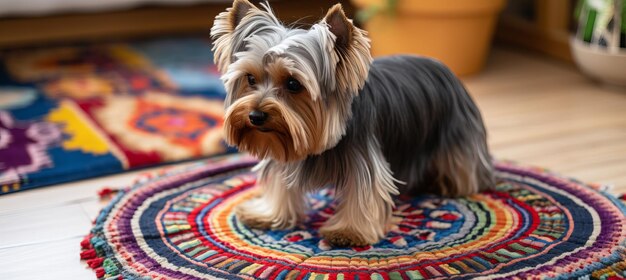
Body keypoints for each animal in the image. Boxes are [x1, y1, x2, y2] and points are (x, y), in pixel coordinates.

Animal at [210, 0, 492, 246]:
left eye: (293, 83)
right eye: (250, 78)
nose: (255, 116)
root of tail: (443, 67)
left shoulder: (364, 160)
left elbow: (364, 193)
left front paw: (349, 231)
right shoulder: (283, 148)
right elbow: (280, 184)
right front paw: (268, 214)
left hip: (455, 132)